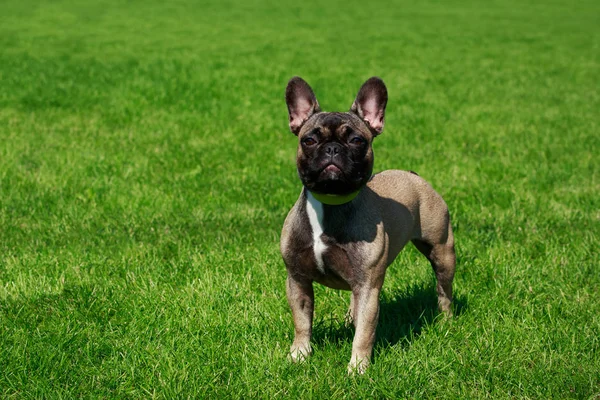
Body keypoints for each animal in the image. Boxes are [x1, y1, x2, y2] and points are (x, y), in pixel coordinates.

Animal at [280, 76, 454, 374]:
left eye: (357, 140)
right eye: (309, 139)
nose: (332, 148)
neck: (331, 202)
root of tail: (413, 175)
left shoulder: (369, 286)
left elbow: (365, 332)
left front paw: (358, 368)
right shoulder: (297, 279)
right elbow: (301, 321)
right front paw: (299, 355)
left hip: (442, 252)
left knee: (444, 290)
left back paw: (446, 321)